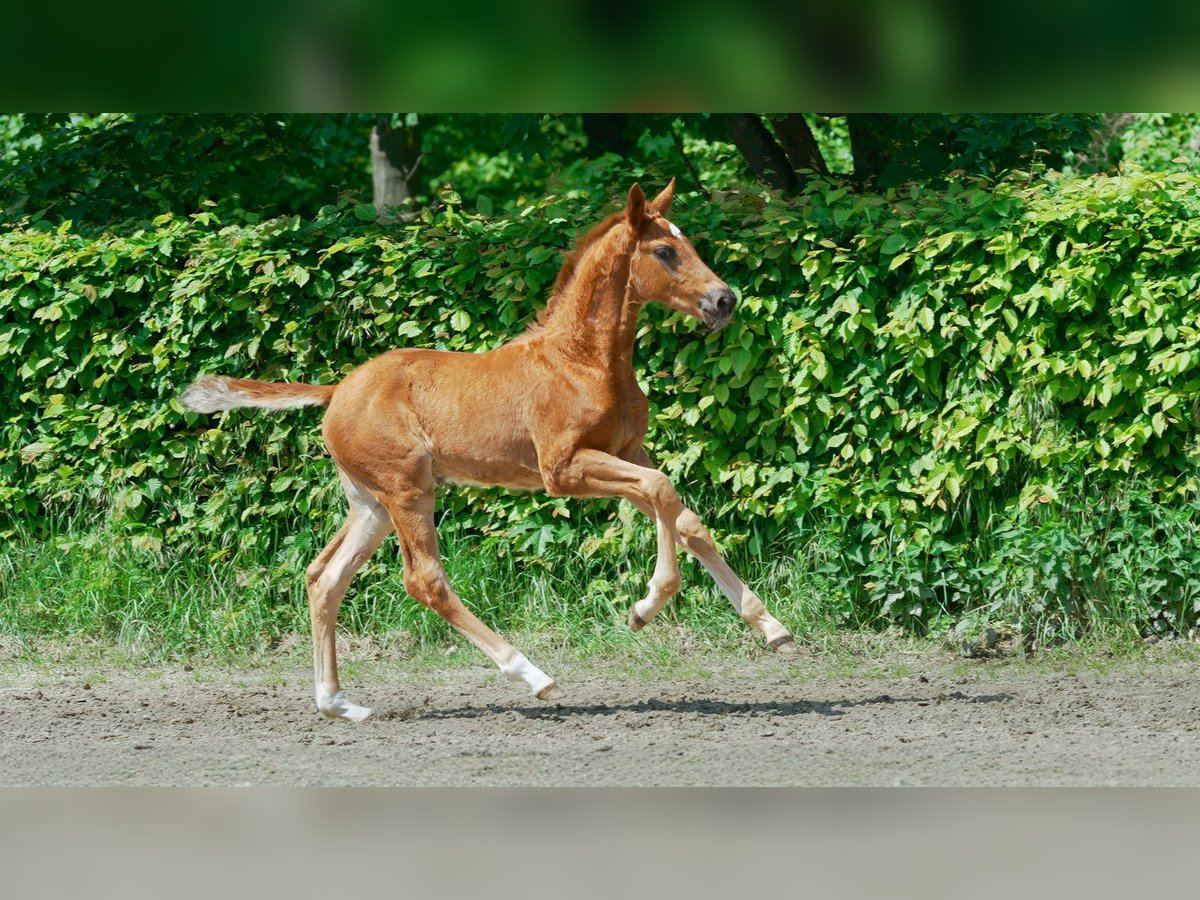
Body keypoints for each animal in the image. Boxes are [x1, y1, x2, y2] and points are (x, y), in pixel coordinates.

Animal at [182, 183, 792, 724]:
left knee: (323, 577)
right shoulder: (563, 469)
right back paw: (532, 674)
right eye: (665, 250)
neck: (582, 361)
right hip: (408, 489)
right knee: (423, 580)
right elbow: (663, 491)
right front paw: (644, 608)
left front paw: (771, 627)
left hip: (371, 503)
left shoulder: (626, 451)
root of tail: (337, 391)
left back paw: (338, 704)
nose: (724, 300)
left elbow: (685, 518)